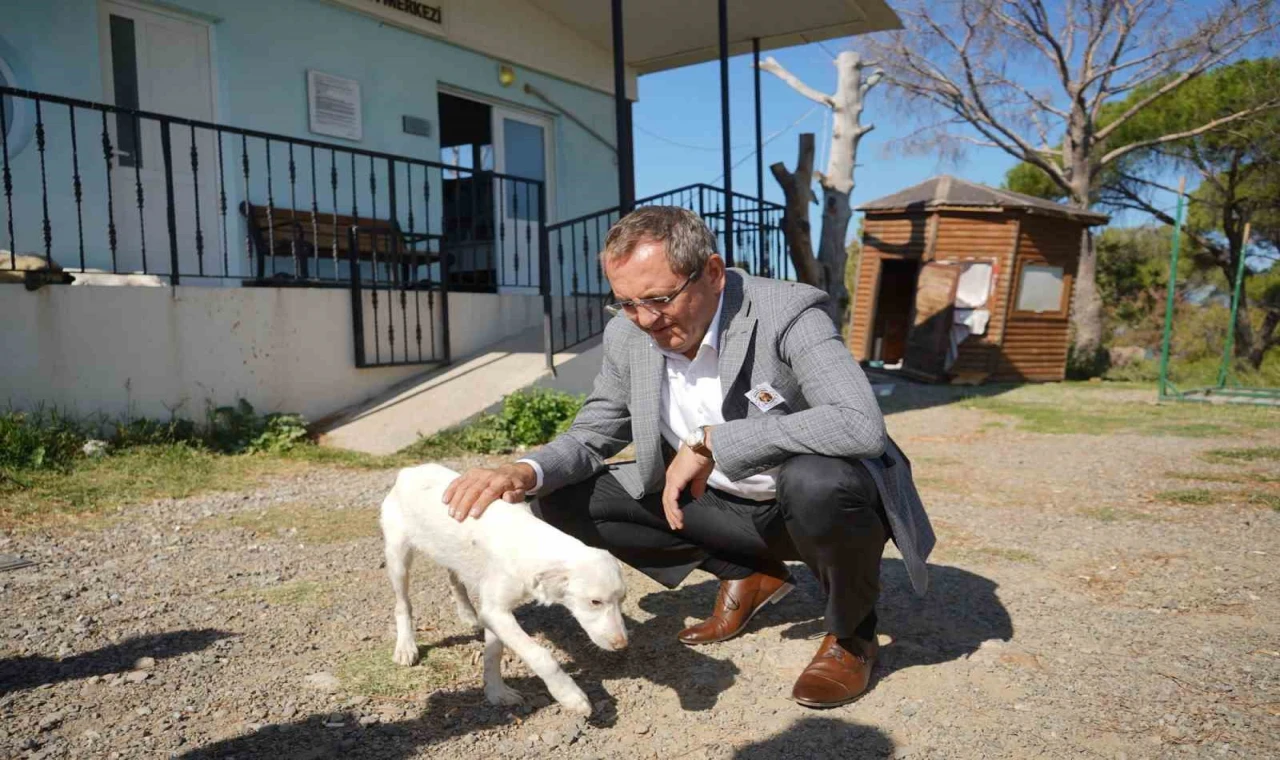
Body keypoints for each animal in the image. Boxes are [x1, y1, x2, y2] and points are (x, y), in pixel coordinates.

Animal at [376, 458, 627, 711]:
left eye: (622, 600)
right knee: (403, 605)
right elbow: (541, 655)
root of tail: (411, 470)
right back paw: (406, 646)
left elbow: (493, 653)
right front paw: (570, 695)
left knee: (454, 579)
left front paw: (496, 691)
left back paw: (467, 614)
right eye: (595, 602)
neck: (530, 542)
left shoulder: (494, 612)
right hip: (398, 557)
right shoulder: (496, 611)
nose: (622, 645)